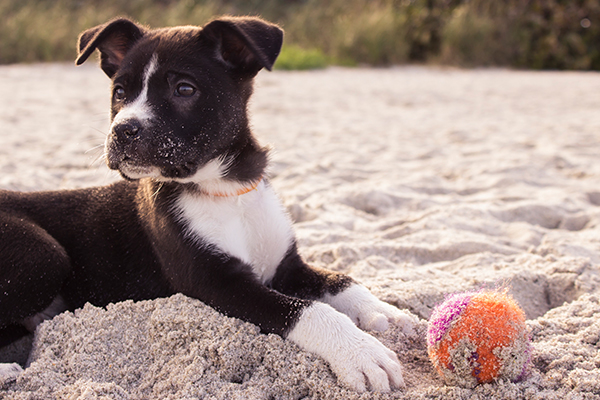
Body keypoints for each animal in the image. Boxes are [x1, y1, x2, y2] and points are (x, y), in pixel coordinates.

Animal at [0, 17, 414, 392]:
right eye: (119, 92)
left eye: (184, 89)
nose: (122, 130)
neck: (224, 189)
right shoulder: (216, 282)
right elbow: (308, 310)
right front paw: (360, 352)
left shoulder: (286, 265)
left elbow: (341, 280)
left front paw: (385, 312)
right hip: (44, 254)